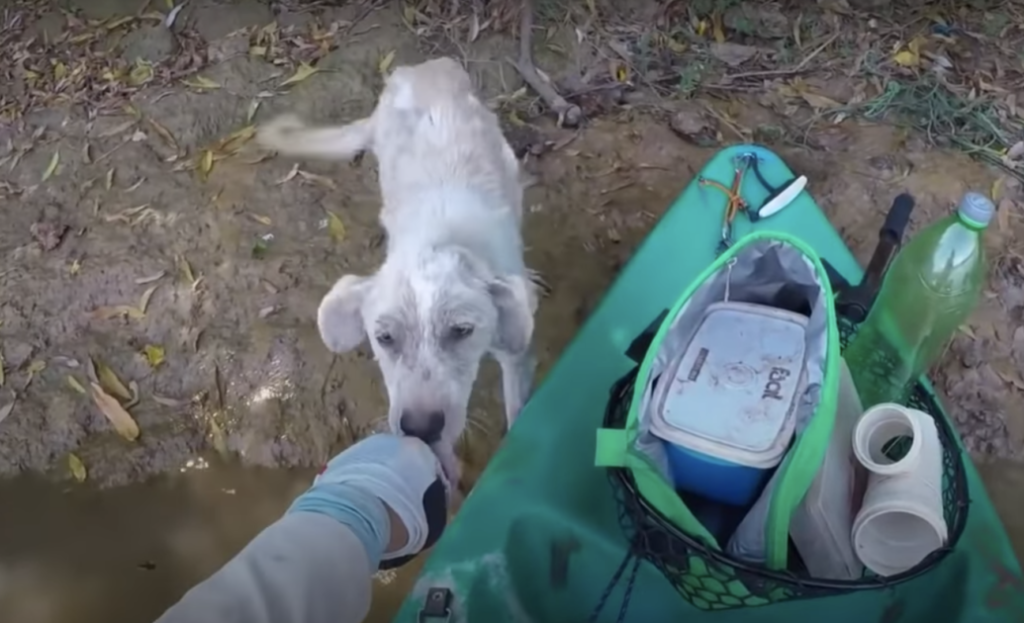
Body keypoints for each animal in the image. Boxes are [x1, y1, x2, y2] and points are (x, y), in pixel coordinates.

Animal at [256, 57, 540, 481]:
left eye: (461, 331)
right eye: (384, 338)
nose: (419, 428)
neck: (438, 241)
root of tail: (422, 67)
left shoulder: (513, 346)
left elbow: (518, 407)